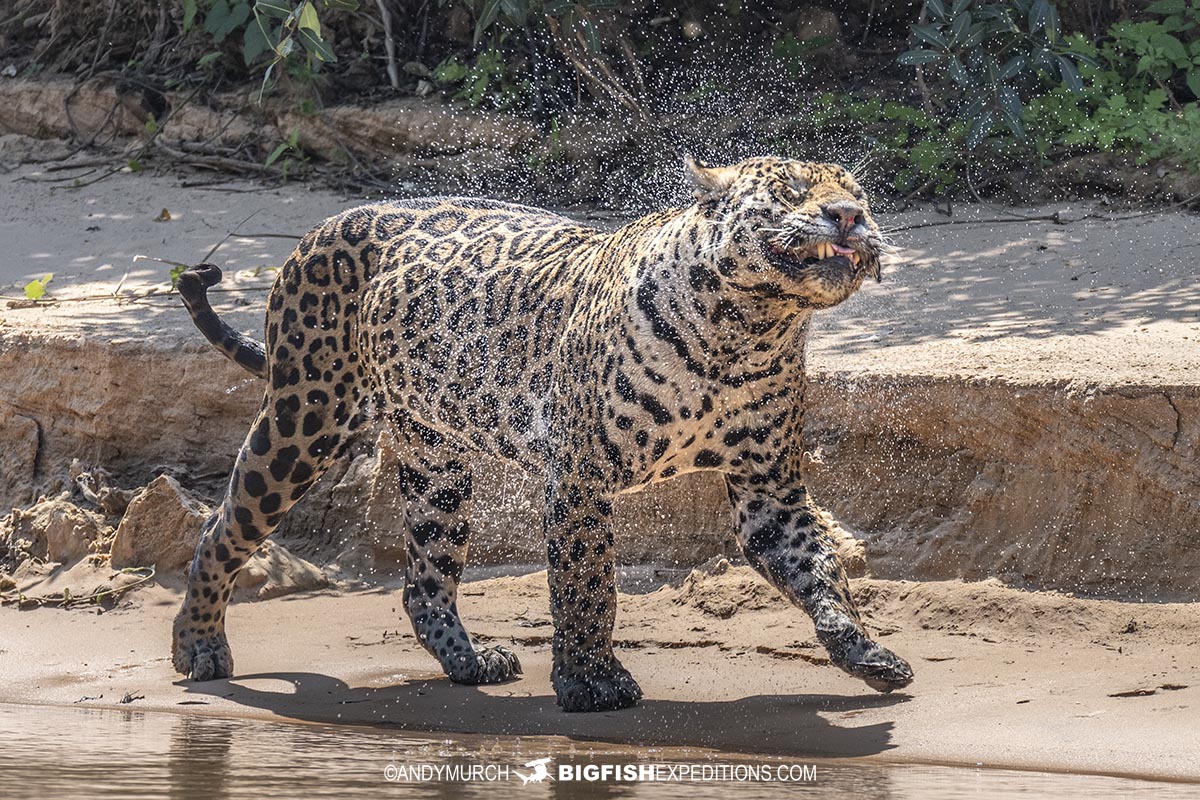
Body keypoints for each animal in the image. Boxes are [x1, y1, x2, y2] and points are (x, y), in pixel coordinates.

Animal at [171, 155, 914, 712]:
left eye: (859, 195)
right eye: (791, 192)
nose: (850, 217)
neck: (748, 330)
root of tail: (317, 228)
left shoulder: (770, 487)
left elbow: (817, 567)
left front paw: (867, 653)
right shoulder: (582, 474)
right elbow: (588, 582)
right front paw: (591, 682)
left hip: (436, 460)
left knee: (425, 580)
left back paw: (471, 663)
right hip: (307, 414)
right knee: (225, 523)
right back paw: (198, 645)